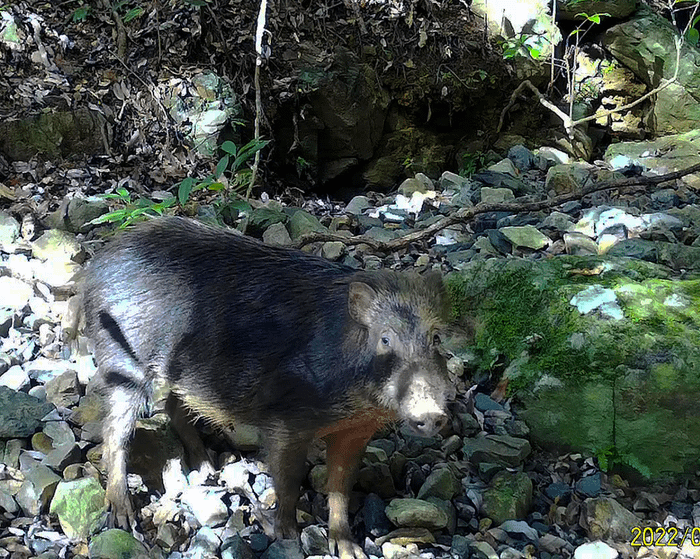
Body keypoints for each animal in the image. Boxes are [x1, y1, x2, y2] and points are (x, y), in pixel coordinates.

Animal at [83, 216, 452, 559]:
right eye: (385, 339)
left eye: (436, 338)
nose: (433, 414)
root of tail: (95, 266)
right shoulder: (286, 421)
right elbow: (288, 481)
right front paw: (287, 535)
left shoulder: (355, 432)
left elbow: (340, 488)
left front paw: (350, 550)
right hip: (123, 364)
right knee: (114, 433)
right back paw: (123, 517)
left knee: (173, 408)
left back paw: (208, 470)